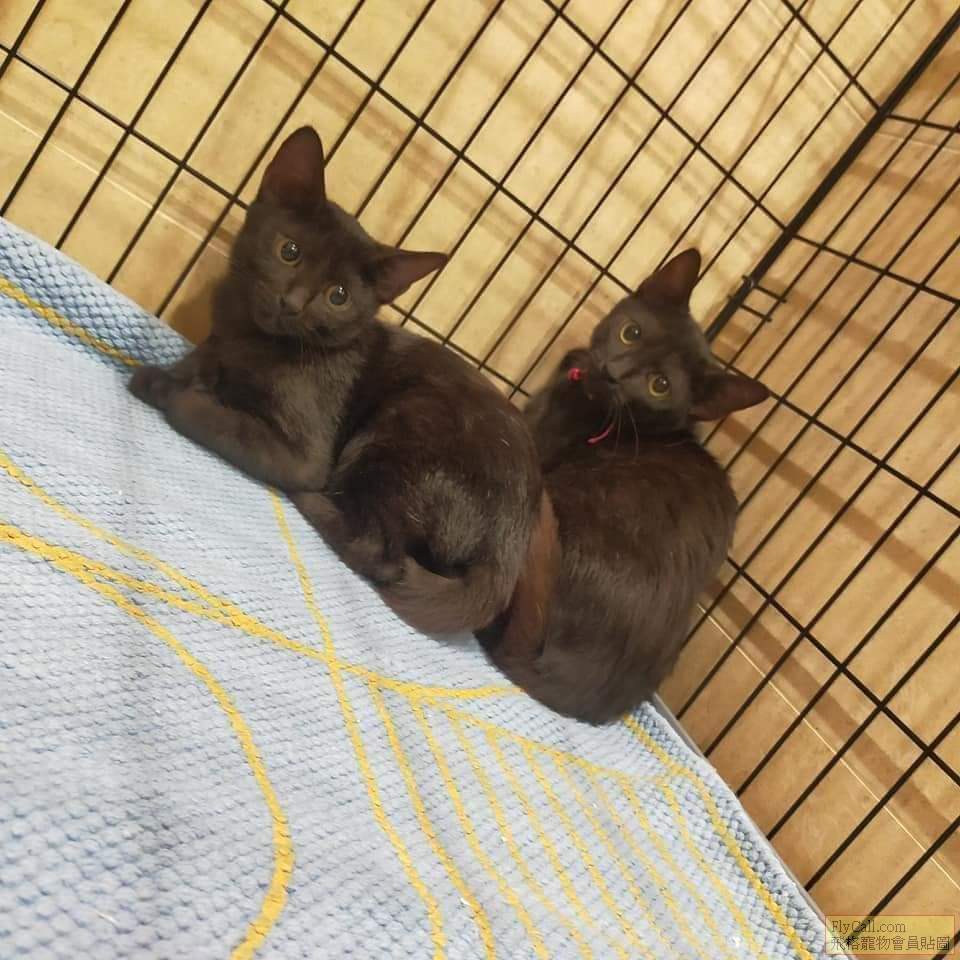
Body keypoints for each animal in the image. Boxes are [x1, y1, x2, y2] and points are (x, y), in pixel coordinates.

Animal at [129, 125, 543, 635]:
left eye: (338, 296)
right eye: (289, 251)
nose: (292, 303)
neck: (252, 337)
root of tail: (510, 552)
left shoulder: (304, 449)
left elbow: (213, 419)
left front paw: (171, 392)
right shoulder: (216, 342)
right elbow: (198, 362)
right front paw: (164, 374)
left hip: (402, 427)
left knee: (382, 553)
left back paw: (313, 502)